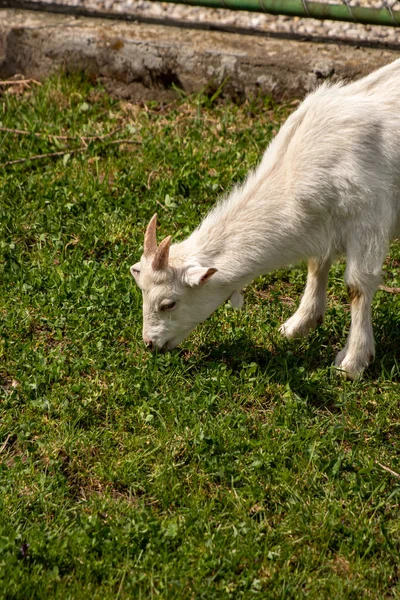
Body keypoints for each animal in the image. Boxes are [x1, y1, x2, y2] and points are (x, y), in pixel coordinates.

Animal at [131, 61, 400, 380]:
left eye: (168, 303)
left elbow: (358, 286)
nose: (150, 344)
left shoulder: (368, 218)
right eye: (142, 291)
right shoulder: (325, 223)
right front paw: (299, 324)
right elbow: (316, 265)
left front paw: (353, 361)